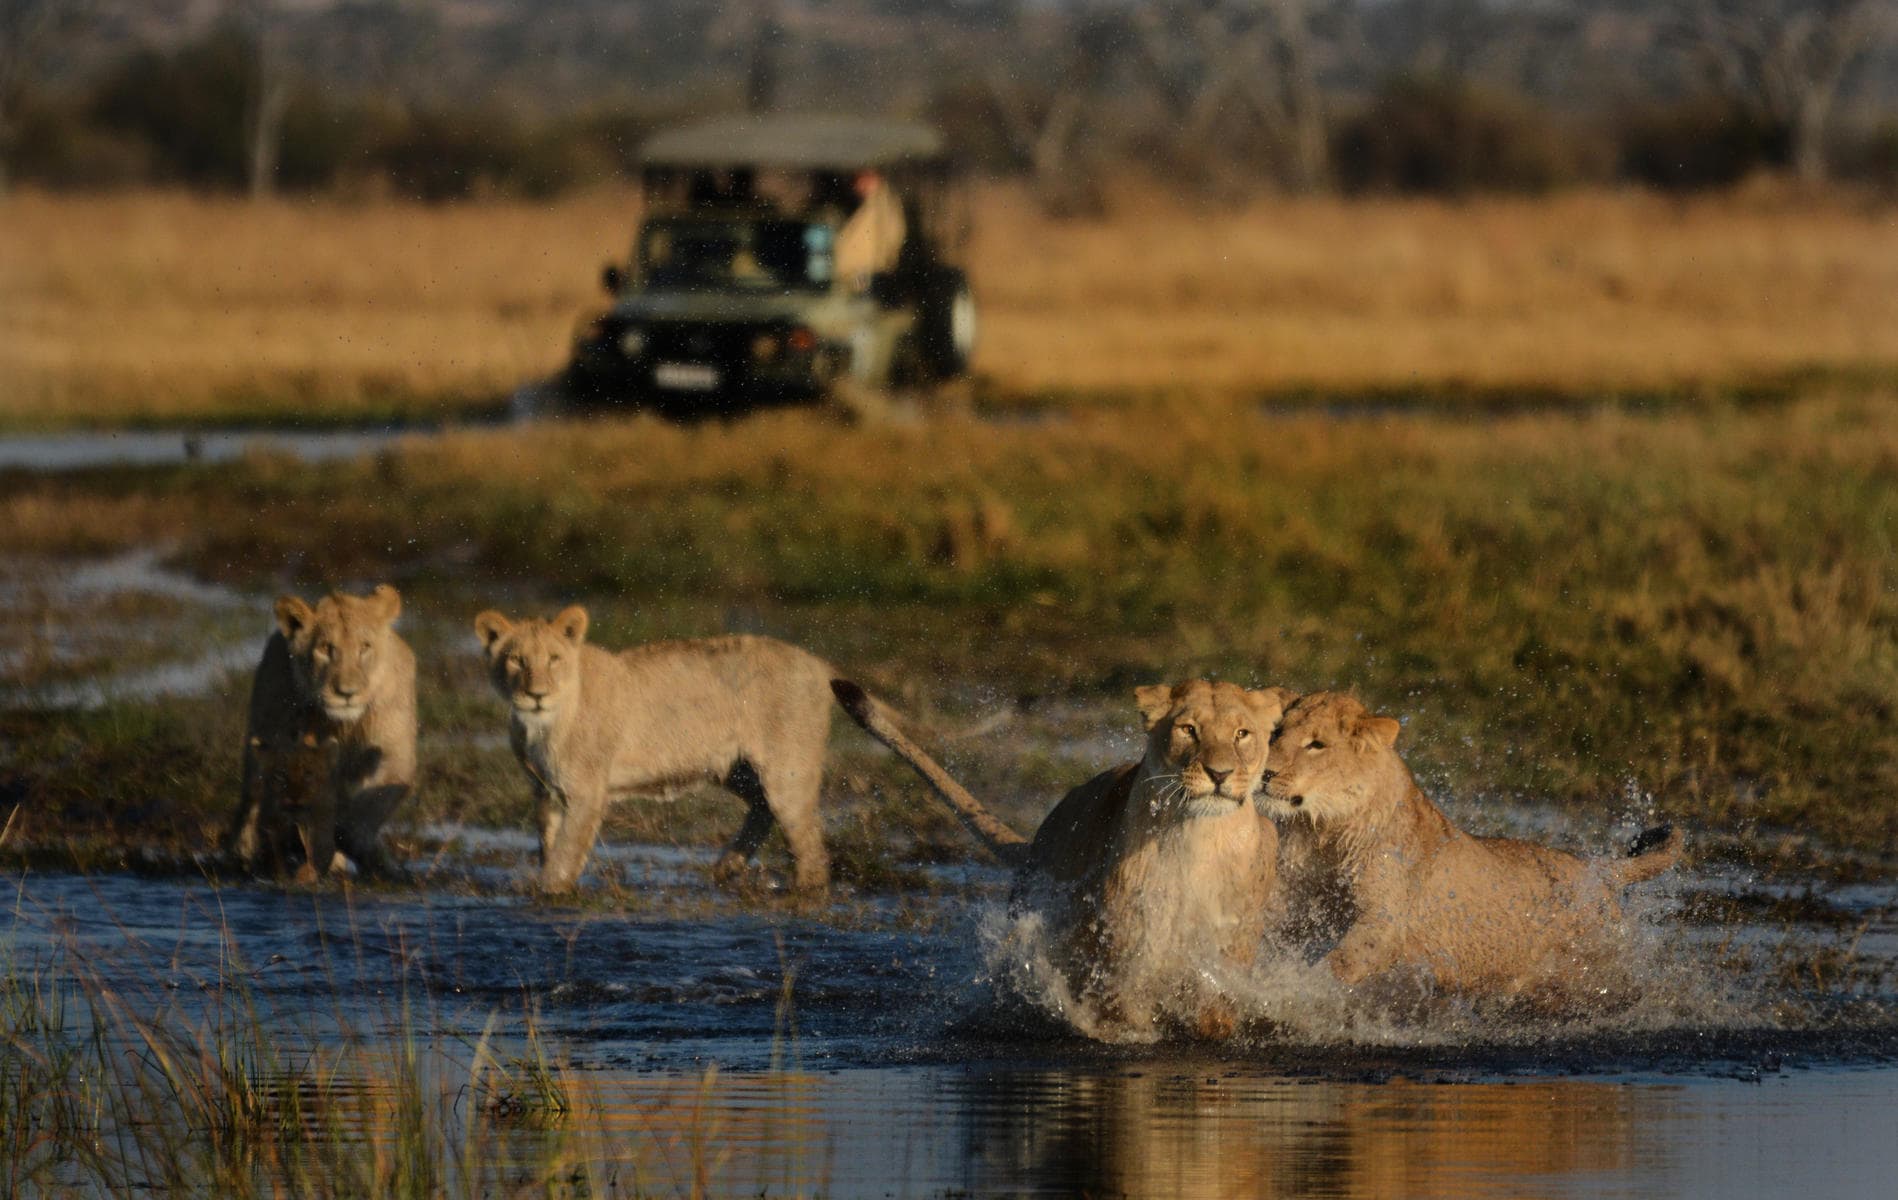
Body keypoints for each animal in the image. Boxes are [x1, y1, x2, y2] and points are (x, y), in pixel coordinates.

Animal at [225, 584, 416, 881]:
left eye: (364, 647)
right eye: (326, 648)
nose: (347, 693)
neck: (344, 724)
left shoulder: (396, 751)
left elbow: (372, 804)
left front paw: (364, 849)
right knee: (252, 794)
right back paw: (244, 851)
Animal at [472, 607, 837, 894]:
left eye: (554, 659)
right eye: (516, 660)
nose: (537, 695)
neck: (540, 726)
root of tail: (820, 665)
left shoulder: (586, 793)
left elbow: (565, 853)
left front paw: (549, 891)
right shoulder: (545, 791)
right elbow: (548, 845)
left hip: (788, 772)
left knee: (810, 849)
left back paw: (803, 889)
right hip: (735, 770)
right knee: (763, 809)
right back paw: (726, 867)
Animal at [832, 677, 1293, 1040]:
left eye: (1242, 734)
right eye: (1188, 729)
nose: (1220, 774)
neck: (1200, 838)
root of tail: (1039, 836)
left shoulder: (1229, 948)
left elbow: (1217, 1010)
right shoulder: (1124, 947)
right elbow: (1124, 1010)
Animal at [1260, 691, 1684, 1009]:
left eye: (1316, 744)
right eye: (1276, 732)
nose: (1263, 772)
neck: (1322, 830)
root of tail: (1599, 871)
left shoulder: (1385, 919)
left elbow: (1338, 964)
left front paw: (1295, 991)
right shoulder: (1294, 905)